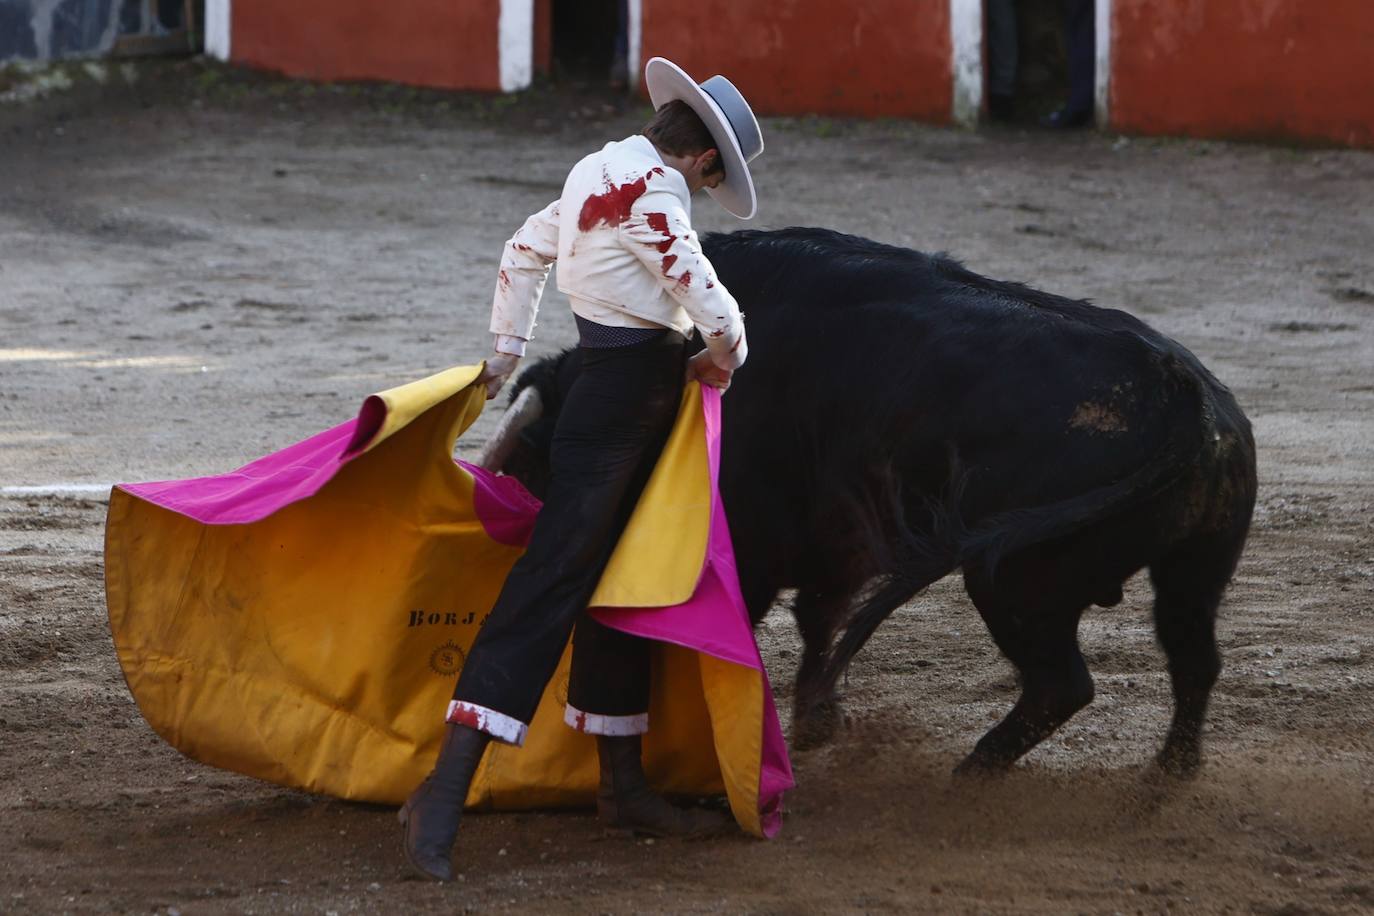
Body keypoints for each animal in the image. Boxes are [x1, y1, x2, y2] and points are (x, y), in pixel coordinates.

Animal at [486, 227, 1258, 774]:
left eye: (541, 470)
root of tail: (1184, 393)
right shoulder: (839, 542)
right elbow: (820, 620)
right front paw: (816, 722)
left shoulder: (758, 543)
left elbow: (783, 621)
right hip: (1194, 566)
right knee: (1193, 659)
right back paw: (1165, 779)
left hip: (1017, 581)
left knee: (1060, 685)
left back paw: (972, 773)